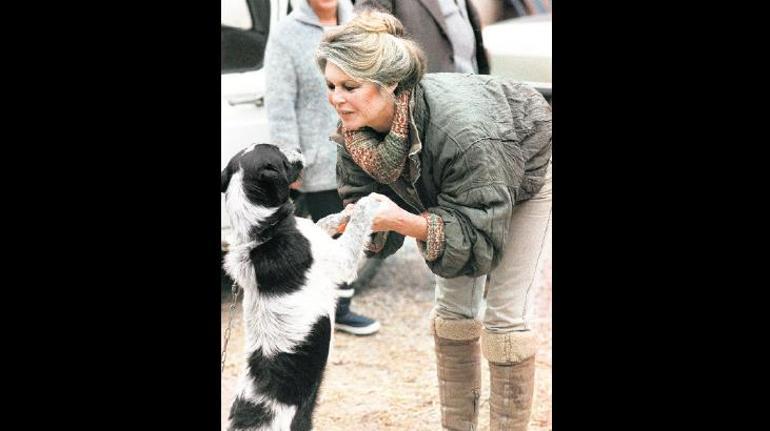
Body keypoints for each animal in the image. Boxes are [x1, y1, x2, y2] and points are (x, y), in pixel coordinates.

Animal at [221, 143, 381, 431]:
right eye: (279, 153)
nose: (298, 147)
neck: (264, 232)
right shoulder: (342, 258)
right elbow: (358, 225)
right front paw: (367, 202)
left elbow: (325, 221)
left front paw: (343, 212)